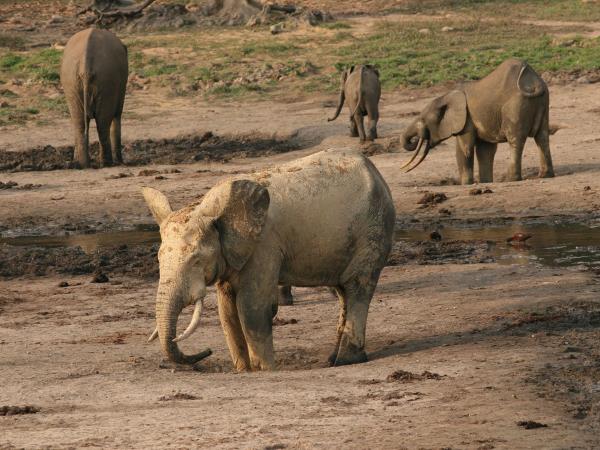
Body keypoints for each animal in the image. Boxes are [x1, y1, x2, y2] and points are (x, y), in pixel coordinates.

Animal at [60, 28, 128, 169]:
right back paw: (107, 164)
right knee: (103, 124)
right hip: (107, 81)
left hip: (72, 82)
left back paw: (83, 164)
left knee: (80, 123)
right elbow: (117, 115)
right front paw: (120, 162)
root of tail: (85, 66)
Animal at [143, 149, 396, 370]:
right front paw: (243, 371)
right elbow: (227, 312)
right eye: (158, 259)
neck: (210, 212)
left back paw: (346, 361)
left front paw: (265, 370)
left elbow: (251, 309)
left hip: (372, 230)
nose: (207, 351)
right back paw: (334, 359)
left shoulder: (264, 246)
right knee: (342, 291)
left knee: (357, 286)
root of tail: (377, 174)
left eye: (196, 260)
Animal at [400, 58, 556, 185]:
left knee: (515, 140)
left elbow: (465, 149)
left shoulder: (466, 120)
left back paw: (511, 179)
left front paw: (466, 185)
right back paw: (545, 176)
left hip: (516, 106)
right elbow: (485, 151)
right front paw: (486, 182)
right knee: (542, 137)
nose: (415, 139)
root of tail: (534, 82)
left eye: (423, 119)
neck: (446, 96)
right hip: (543, 101)